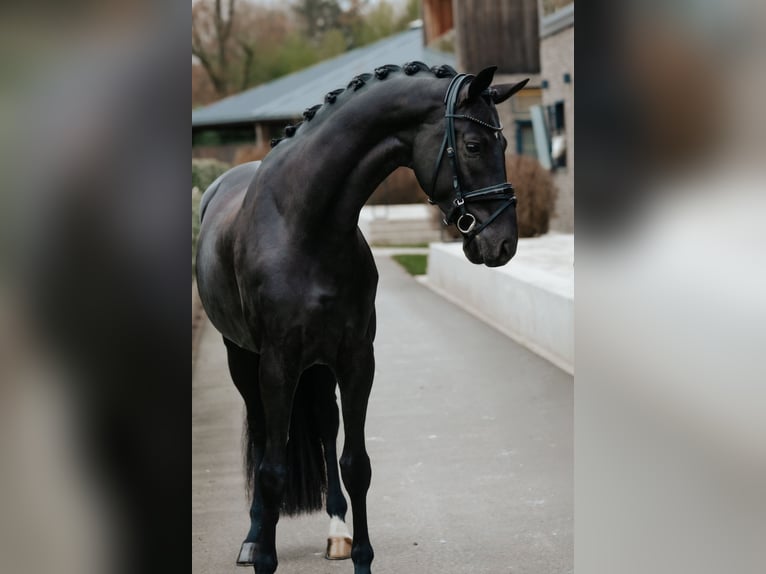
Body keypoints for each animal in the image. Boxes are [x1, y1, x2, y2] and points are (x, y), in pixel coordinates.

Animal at [195, 63, 528, 574]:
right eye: (473, 146)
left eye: (506, 143)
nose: (504, 243)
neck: (305, 228)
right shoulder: (277, 364)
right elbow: (272, 469)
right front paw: (264, 556)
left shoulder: (355, 360)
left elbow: (356, 464)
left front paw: (362, 558)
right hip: (243, 360)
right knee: (262, 437)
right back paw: (253, 538)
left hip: (318, 366)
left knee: (326, 426)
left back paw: (336, 531)